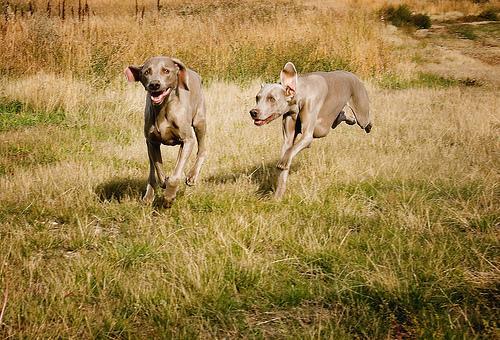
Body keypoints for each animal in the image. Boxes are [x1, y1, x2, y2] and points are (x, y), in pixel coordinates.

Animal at [125, 56, 207, 207]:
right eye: (146, 72)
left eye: (166, 71)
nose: (154, 84)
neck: (163, 108)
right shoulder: (152, 142)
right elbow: (158, 169)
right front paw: (164, 182)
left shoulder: (187, 140)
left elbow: (175, 175)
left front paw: (169, 197)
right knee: (152, 170)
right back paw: (148, 196)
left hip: (199, 121)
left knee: (202, 149)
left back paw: (192, 176)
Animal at [249, 62, 372, 199]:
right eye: (257, 97)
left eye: (271, 99)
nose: (253, 112)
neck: (298, 97)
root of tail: (353, 75)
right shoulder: (288, 129)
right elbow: (287, 151)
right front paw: (278, 196)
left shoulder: (308, 130)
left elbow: (293, 149)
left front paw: (283, 163)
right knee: (340, 117)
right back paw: (348, 119)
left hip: (361, 114)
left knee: (364, 122)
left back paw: (367, 125)